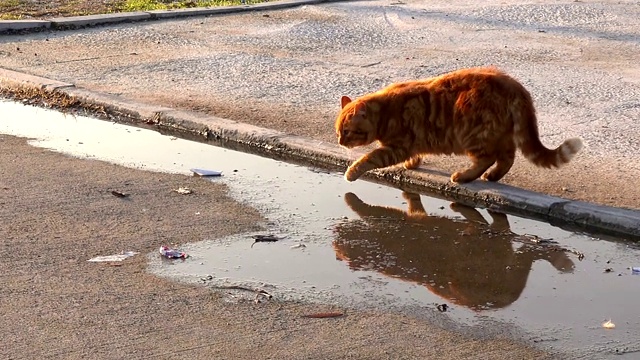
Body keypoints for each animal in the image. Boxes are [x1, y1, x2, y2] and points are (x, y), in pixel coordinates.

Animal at [338, 66, 584, 183]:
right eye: (338, 131)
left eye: (347, 132)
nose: (340, 141)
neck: (385, 111)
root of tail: (513, 85)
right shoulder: (409, 146)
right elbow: (415, 157)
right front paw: (412, 164)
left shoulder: (396, 147)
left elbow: (369, 158)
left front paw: (352, 172)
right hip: (500, 135)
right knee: (507, 159)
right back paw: (492, 177)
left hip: (473, 135)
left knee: (487, 158)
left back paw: (464, 177)